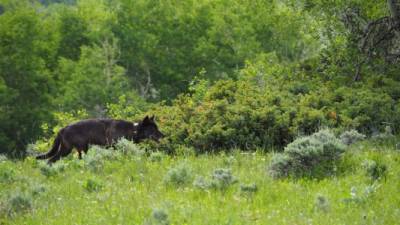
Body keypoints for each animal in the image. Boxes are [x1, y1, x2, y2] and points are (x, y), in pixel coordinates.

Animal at [36, 116, 164, 163]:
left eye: (157, 127)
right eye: (153, 129)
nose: (164, 136)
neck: (133, 130)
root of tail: (62, 129)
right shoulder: (113, 147)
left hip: (67, 149)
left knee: (51, 160)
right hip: (76, 149)